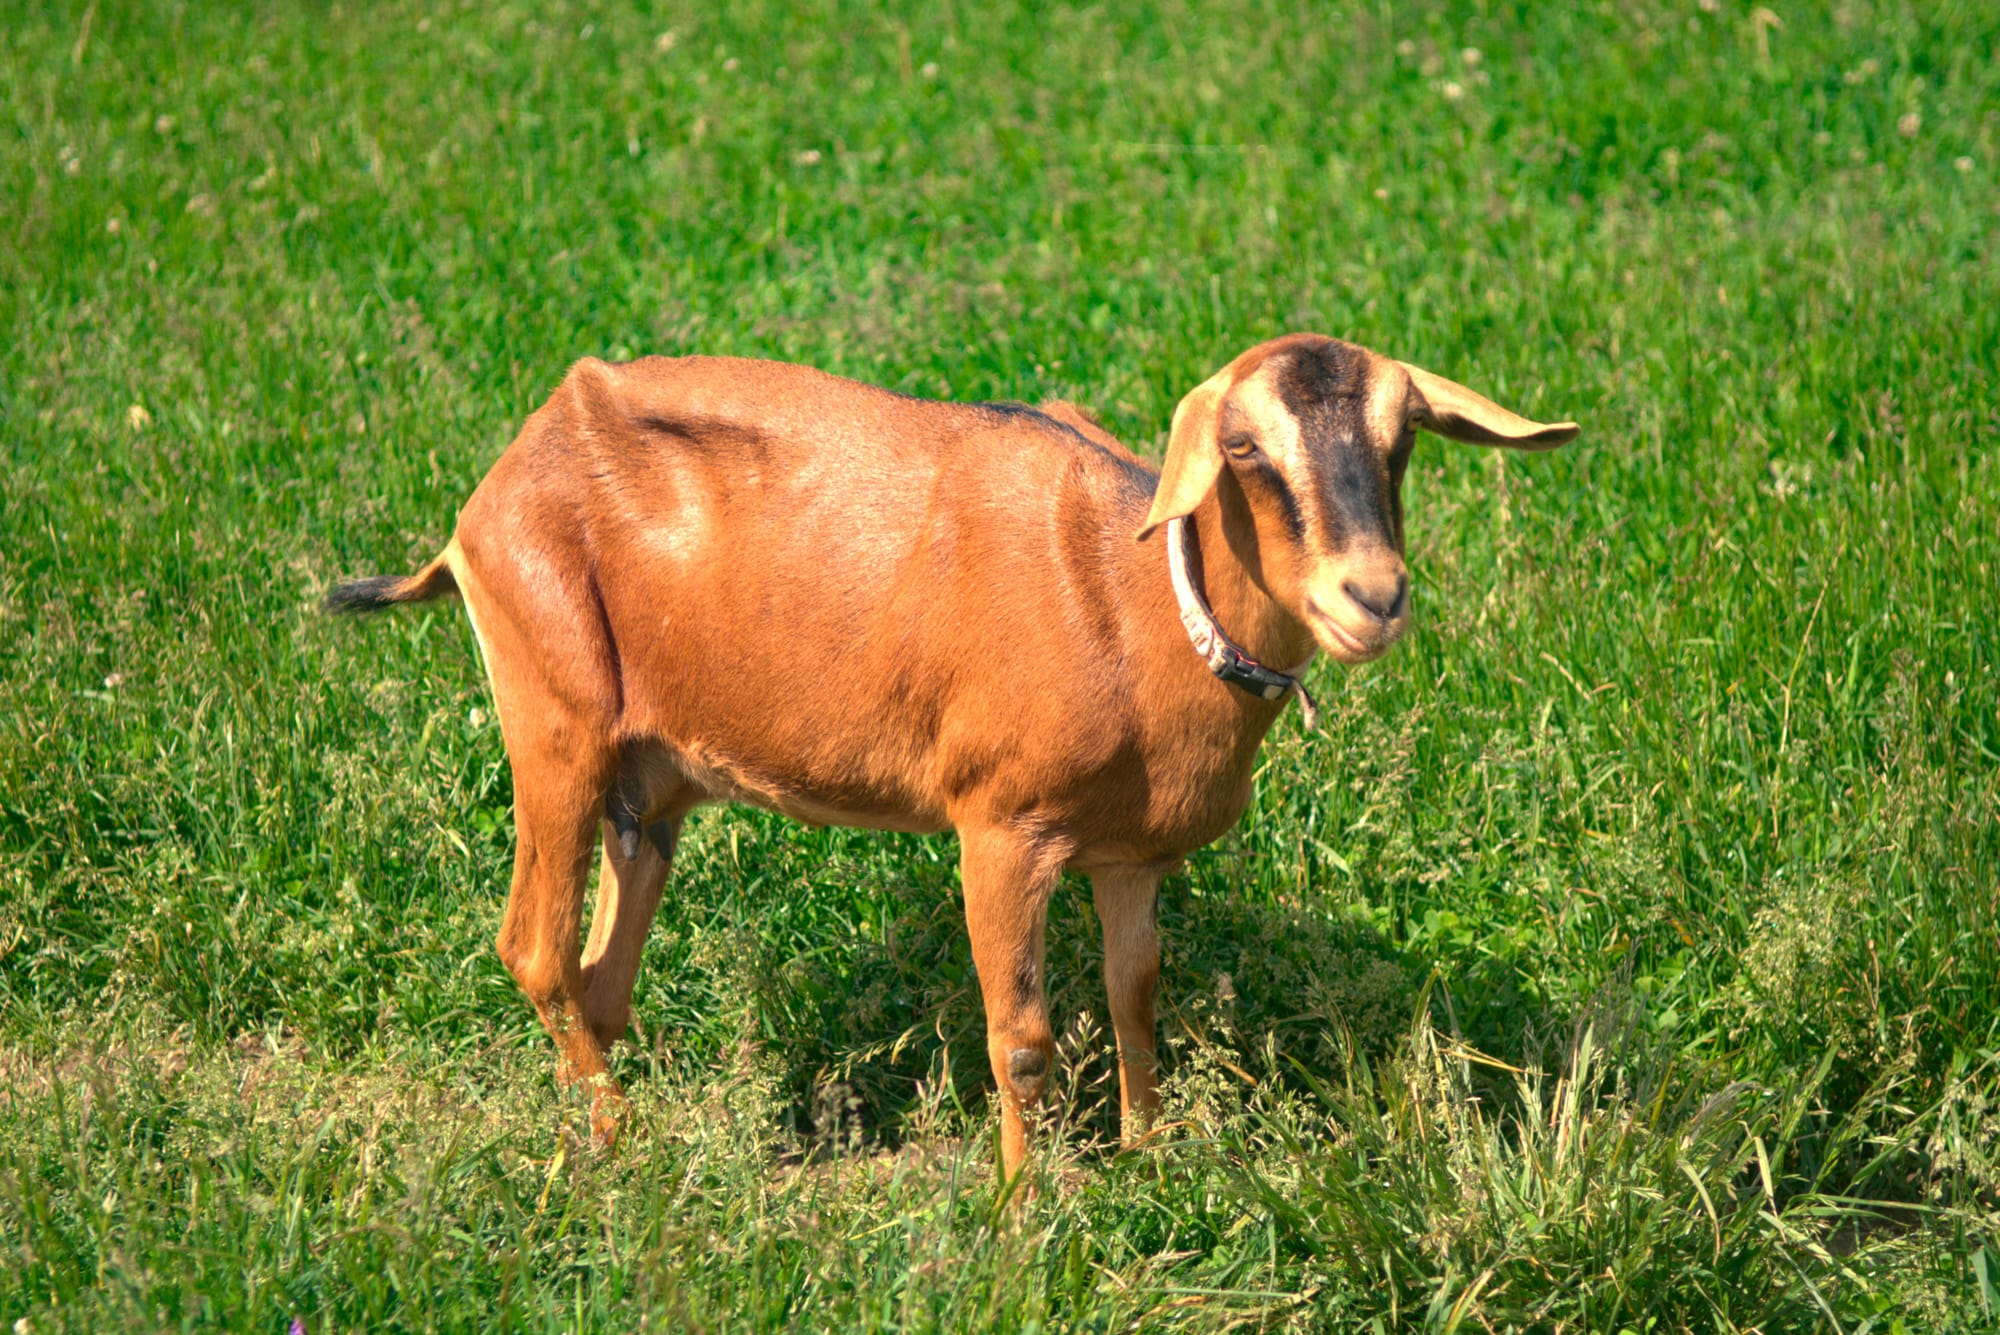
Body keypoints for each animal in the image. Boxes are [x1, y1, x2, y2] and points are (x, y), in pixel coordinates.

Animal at [327, 334, 1577, 1180]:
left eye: (1401, 439)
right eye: (1239, 448)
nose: (1371, 598)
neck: (1130, 608)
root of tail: (489, 498)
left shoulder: (1130, 854)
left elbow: (1134, 999)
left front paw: (1149, 1159)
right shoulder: (1001, 827)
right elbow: (1021, 1036)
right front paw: (1026, 1212)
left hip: (652, 777)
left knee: (600, 975)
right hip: (553, 715)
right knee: (531, 946)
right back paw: (628, 1147)